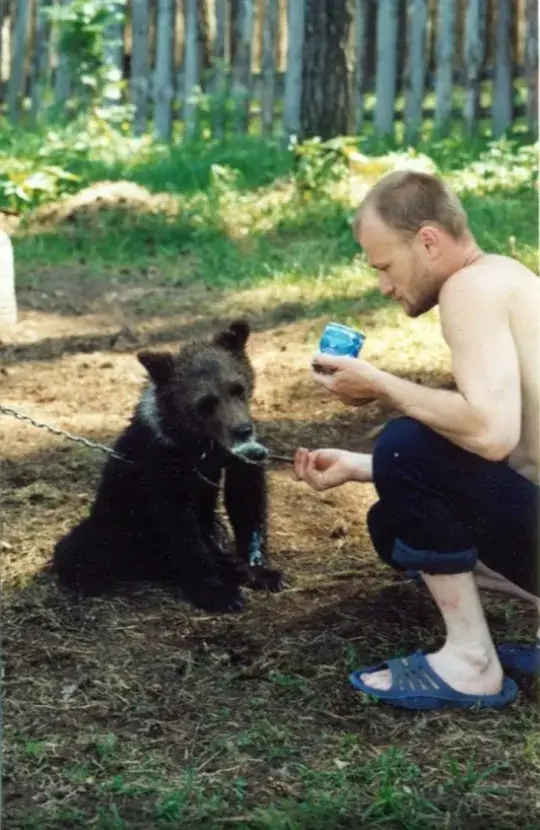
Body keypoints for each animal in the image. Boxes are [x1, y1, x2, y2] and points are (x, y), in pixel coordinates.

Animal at [51, 319, 284, 613]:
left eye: (237, 388)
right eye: (205, 402)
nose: (242, 429)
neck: (199, 443)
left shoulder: (232, 460)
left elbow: (247, 500)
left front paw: (262, 572)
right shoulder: (162, 464)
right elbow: (181, 527)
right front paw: (219, 593)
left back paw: (230, 563)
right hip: (116, 526)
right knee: (79, 549)